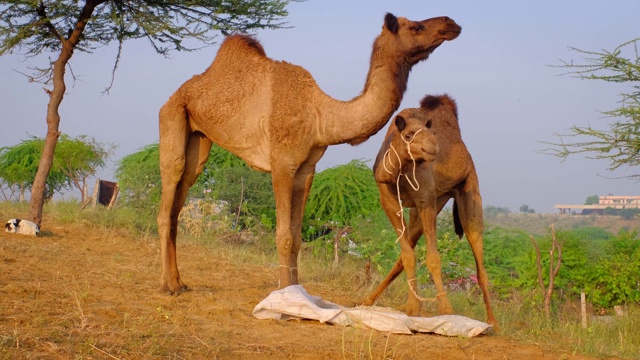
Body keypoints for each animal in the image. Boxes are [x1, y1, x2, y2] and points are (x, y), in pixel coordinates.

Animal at [158, 14, 462, 296]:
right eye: (416, 27)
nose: (451, 23)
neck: (320, 115)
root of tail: (179, 93)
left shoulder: (306, 169)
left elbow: (296, 236)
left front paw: (296, 293)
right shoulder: (282, 164)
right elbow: (283, 236)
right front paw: (282, 298)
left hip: (199, 138)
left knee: (181, 196)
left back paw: (178, 281)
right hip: (173, 115)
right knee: (170, 187)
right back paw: (168, 286)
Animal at [362, 94, 498, 328]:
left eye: (431, 134)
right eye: (408, 135)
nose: (433, 148)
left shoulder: (425, 200)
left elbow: (433, 257)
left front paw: (445, 308)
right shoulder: (389, 202)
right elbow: (407, 255)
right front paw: (412, 307)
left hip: (468, 191)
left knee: (480, 263)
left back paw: (492, 321)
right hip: (434, 201)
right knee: (406, 252)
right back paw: (372, 299)